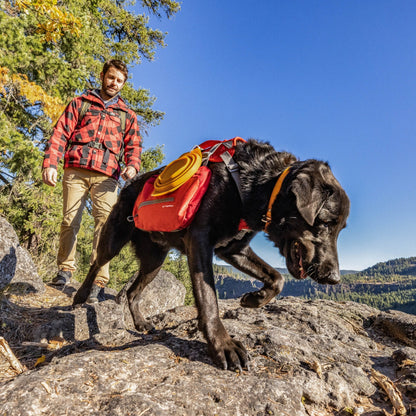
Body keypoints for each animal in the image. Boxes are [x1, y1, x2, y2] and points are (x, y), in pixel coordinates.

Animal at [72, 139, 352, 370]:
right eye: (325, 222)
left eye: (341, 228)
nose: (334, 278)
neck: (257, 183)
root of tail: (130, 182)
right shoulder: (200, 241)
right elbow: (208, 300)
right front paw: (223, 345)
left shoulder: (234, 250)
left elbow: (278, 278)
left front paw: (254, 299)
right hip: (115, 238)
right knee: (96, 262)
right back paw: (81, 296)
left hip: (155, 260)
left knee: (132, 292)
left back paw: (141, 323)